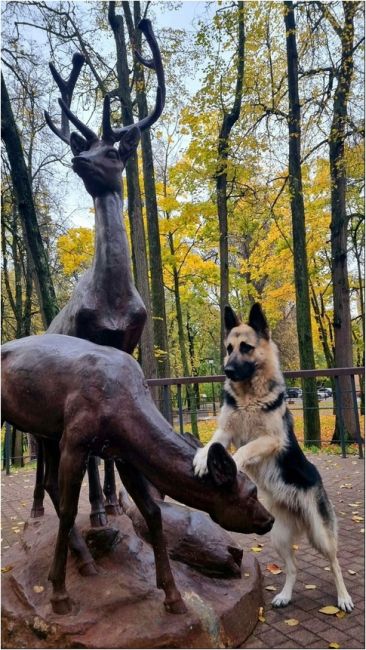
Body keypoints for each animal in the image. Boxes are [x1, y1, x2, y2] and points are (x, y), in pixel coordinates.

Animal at [194, 302, 354, 612]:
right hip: (278, 535)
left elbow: (244, 450)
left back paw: (343, 597)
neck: (248, 395)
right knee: (293, 568)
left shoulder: (270, 440)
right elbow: (213, 443)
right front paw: (201, 457)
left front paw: (233, 463)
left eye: (245, 347)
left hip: (321, 534)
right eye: (229, 347)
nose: (227, 370)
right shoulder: (225, 432)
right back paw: (285, 595)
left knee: (335, 563)